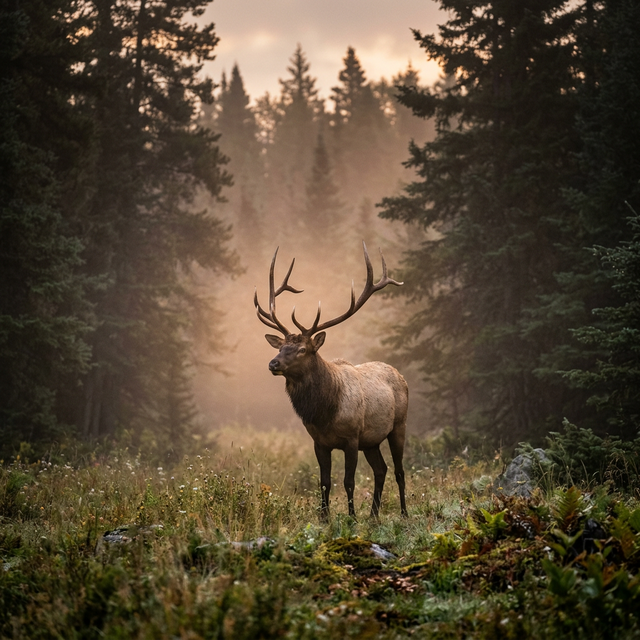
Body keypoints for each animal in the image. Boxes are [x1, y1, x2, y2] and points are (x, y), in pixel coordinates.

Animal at [254, 242, 408, 520]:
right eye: (281, 346)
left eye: (303, 349)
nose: (273, 364)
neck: (324, 413)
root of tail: (400, 375)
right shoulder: (319, 442)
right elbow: (324, 481)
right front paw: (324, 518)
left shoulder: (351, 438)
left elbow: (348, 481)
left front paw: (352, 518)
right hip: (371, 440)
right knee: (381, 470)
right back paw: (374, 515)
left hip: (398, 425)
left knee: (399, 470)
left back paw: (403, 513)